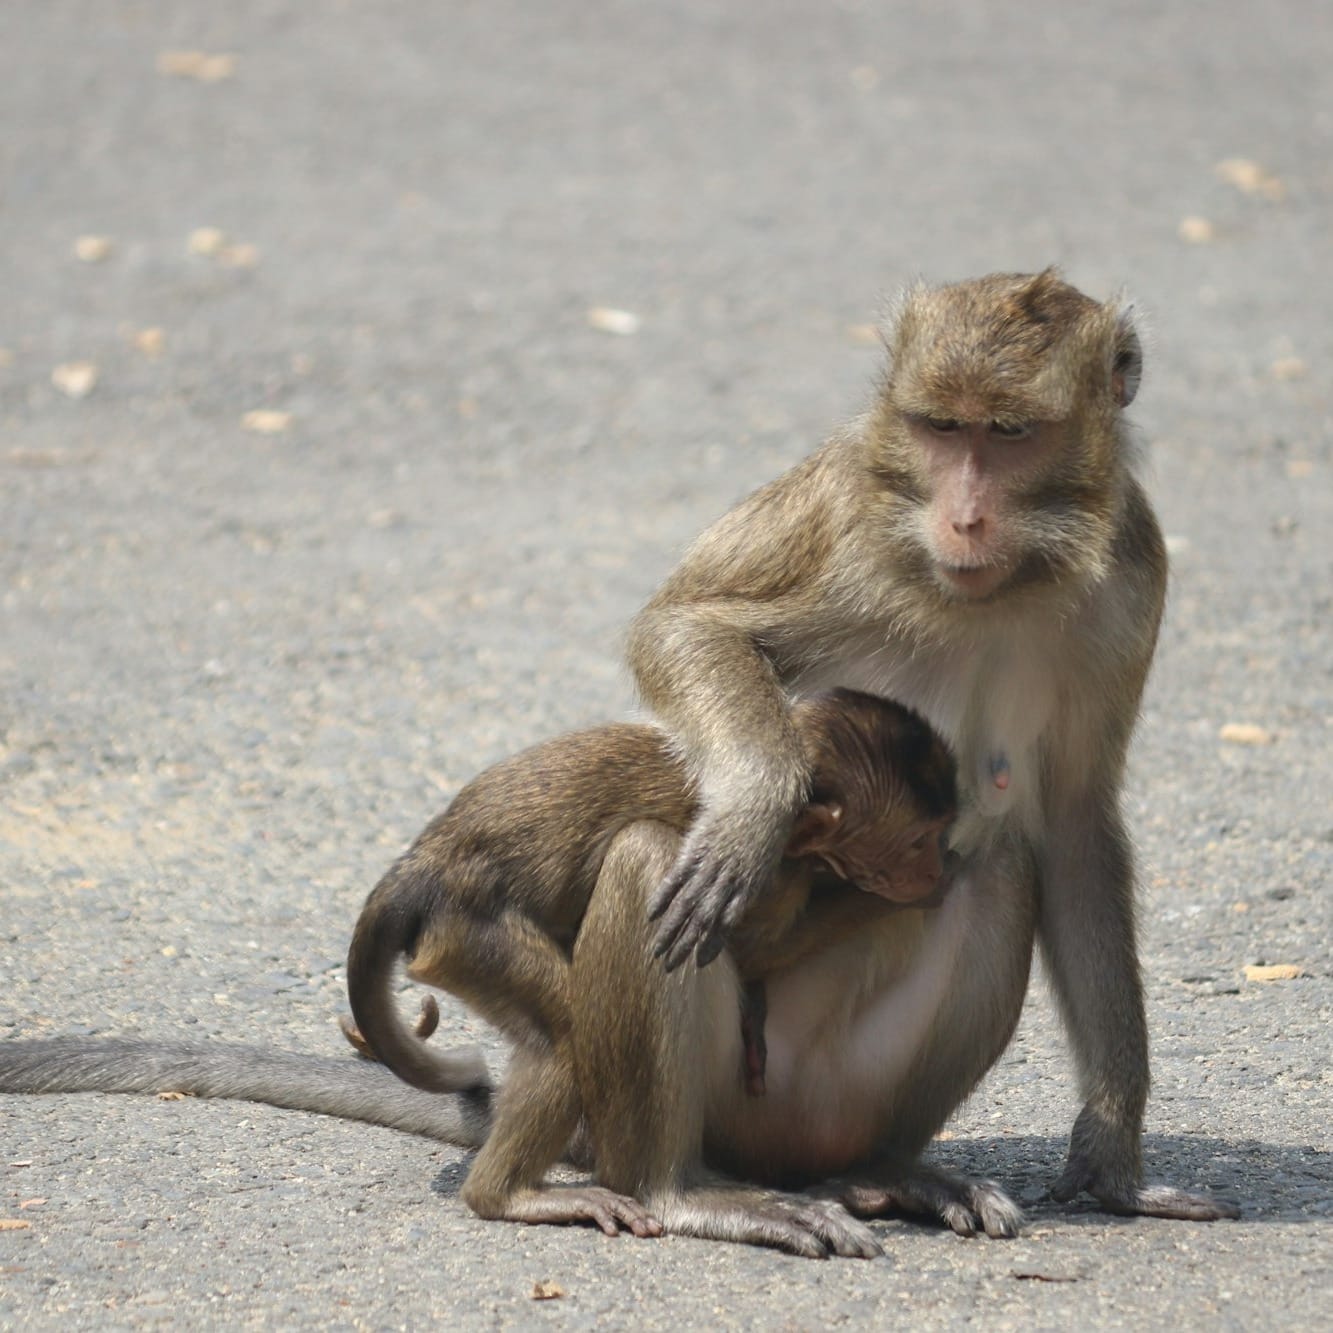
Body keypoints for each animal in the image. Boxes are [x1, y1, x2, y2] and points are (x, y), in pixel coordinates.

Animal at [343, 687, 959, 1237]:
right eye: (917, 842)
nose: (932, 867)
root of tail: (426, 861)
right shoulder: (774, 870)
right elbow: (749, 946)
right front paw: (899, 894)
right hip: (469, 932)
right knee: (562, 1039)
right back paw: (504, 1196)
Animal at [621, 270, 1237, 1226]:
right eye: (942, 427)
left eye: (1010, 433)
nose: (965, 517)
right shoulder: (850, 516)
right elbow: (685, 624)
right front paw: (754, 812)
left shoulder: (1133, 572)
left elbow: (1072, 826)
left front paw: (1112, 1155)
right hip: (732, 1088)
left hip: (837, 1091)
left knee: (999, 867)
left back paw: (882, 1170)